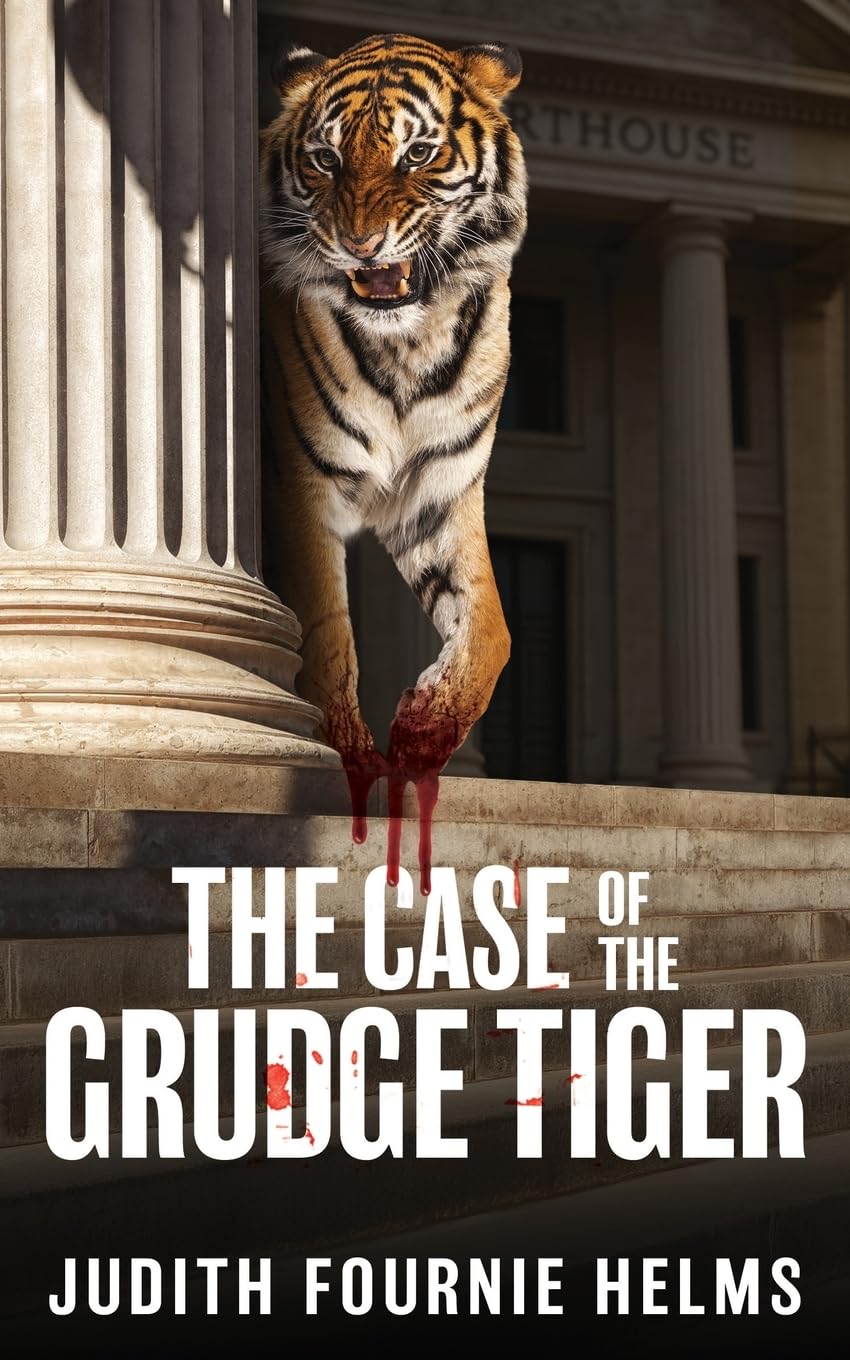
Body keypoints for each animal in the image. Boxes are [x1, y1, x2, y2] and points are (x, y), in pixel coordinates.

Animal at [259, 32, 527, 891]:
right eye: (324, 158)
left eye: (418, 152)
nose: (359, 244)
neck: (411, 342)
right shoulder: (300, 491)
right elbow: (326, 636)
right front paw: (349, 768)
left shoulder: (438, 496)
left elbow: (493, 632)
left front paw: (422, 732)